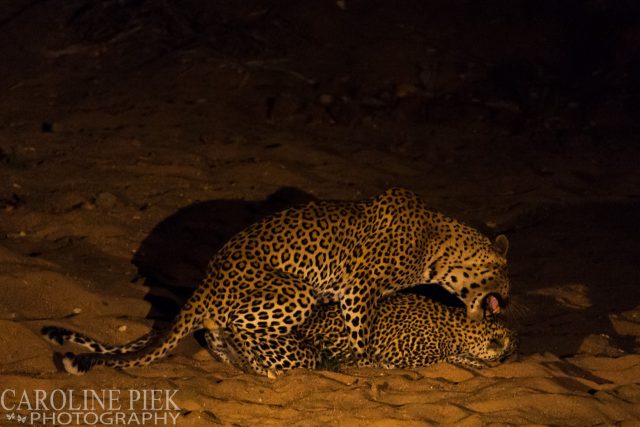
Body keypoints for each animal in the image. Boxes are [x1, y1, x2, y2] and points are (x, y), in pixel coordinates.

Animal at [43, 189, 510, 376]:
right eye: (506, 283)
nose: (507, 301)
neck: (440, 250)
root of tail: (206, 283)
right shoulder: (358, 289)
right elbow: (362, 334)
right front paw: (367, 361)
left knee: (216, 331)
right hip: (295, 290)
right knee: (236, 324)